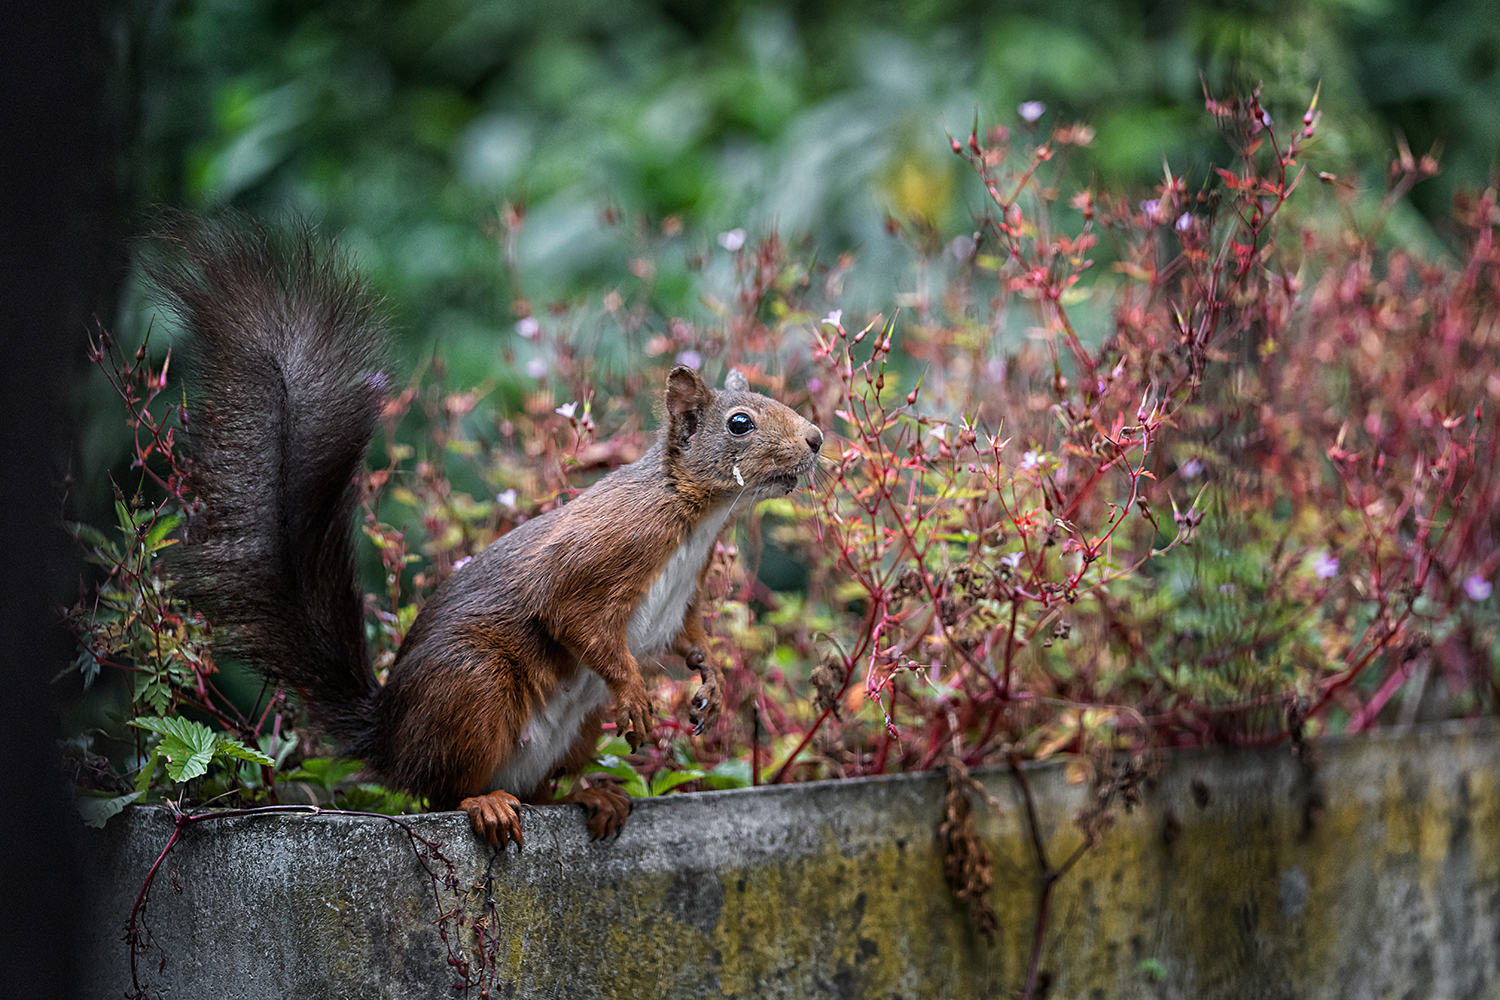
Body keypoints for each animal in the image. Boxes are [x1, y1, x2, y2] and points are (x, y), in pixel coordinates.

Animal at [155, 218, 822, 845]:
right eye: (740, 423)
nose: (816, 438)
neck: (695, 518)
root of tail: (390, 740)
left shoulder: (683, 595)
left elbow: (687, 637)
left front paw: (709, 681)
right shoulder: (606, 552)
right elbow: (578, 620)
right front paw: (636, 694)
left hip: (575, 730)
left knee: (539, 790)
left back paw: (589, 794)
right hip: (471, 689)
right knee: (444, 792)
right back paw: (488, 803)